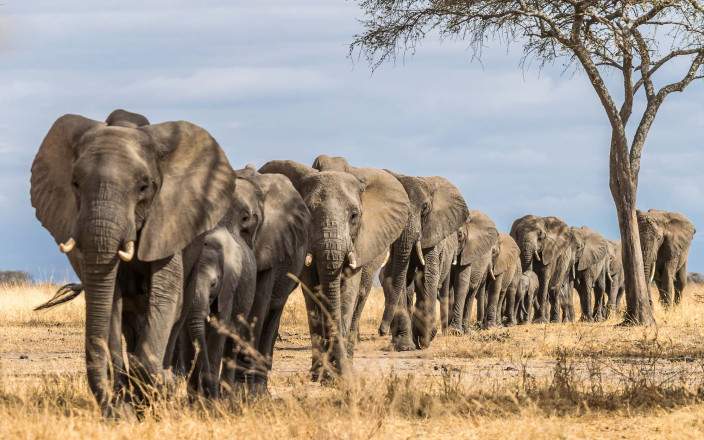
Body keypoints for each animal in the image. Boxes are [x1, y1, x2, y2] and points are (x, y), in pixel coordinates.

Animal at [30, 111, 235, 416]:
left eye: (143, 187)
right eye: (75, 183)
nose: (109, 407)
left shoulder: (168, 220)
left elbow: (165, 297)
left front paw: (160, 386)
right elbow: (110, 302)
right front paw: (125, 408)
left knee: (178, 312)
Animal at [172, 227, 258, 398]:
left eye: (213, 284)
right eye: (187, 281)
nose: (209, 391)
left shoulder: (228, 287)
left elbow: (218, 331)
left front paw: (210, 399)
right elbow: (186, 335)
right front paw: (194, 399)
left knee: (232, 341)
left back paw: (226, 396)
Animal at [258, 160, 408, 380]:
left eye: (354, 216)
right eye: (307, 213)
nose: (340, 376)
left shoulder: (360, 243)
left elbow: (348, 292)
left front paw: (337, 374)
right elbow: (313, 294)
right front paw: (320, 374)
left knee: (359, 298)